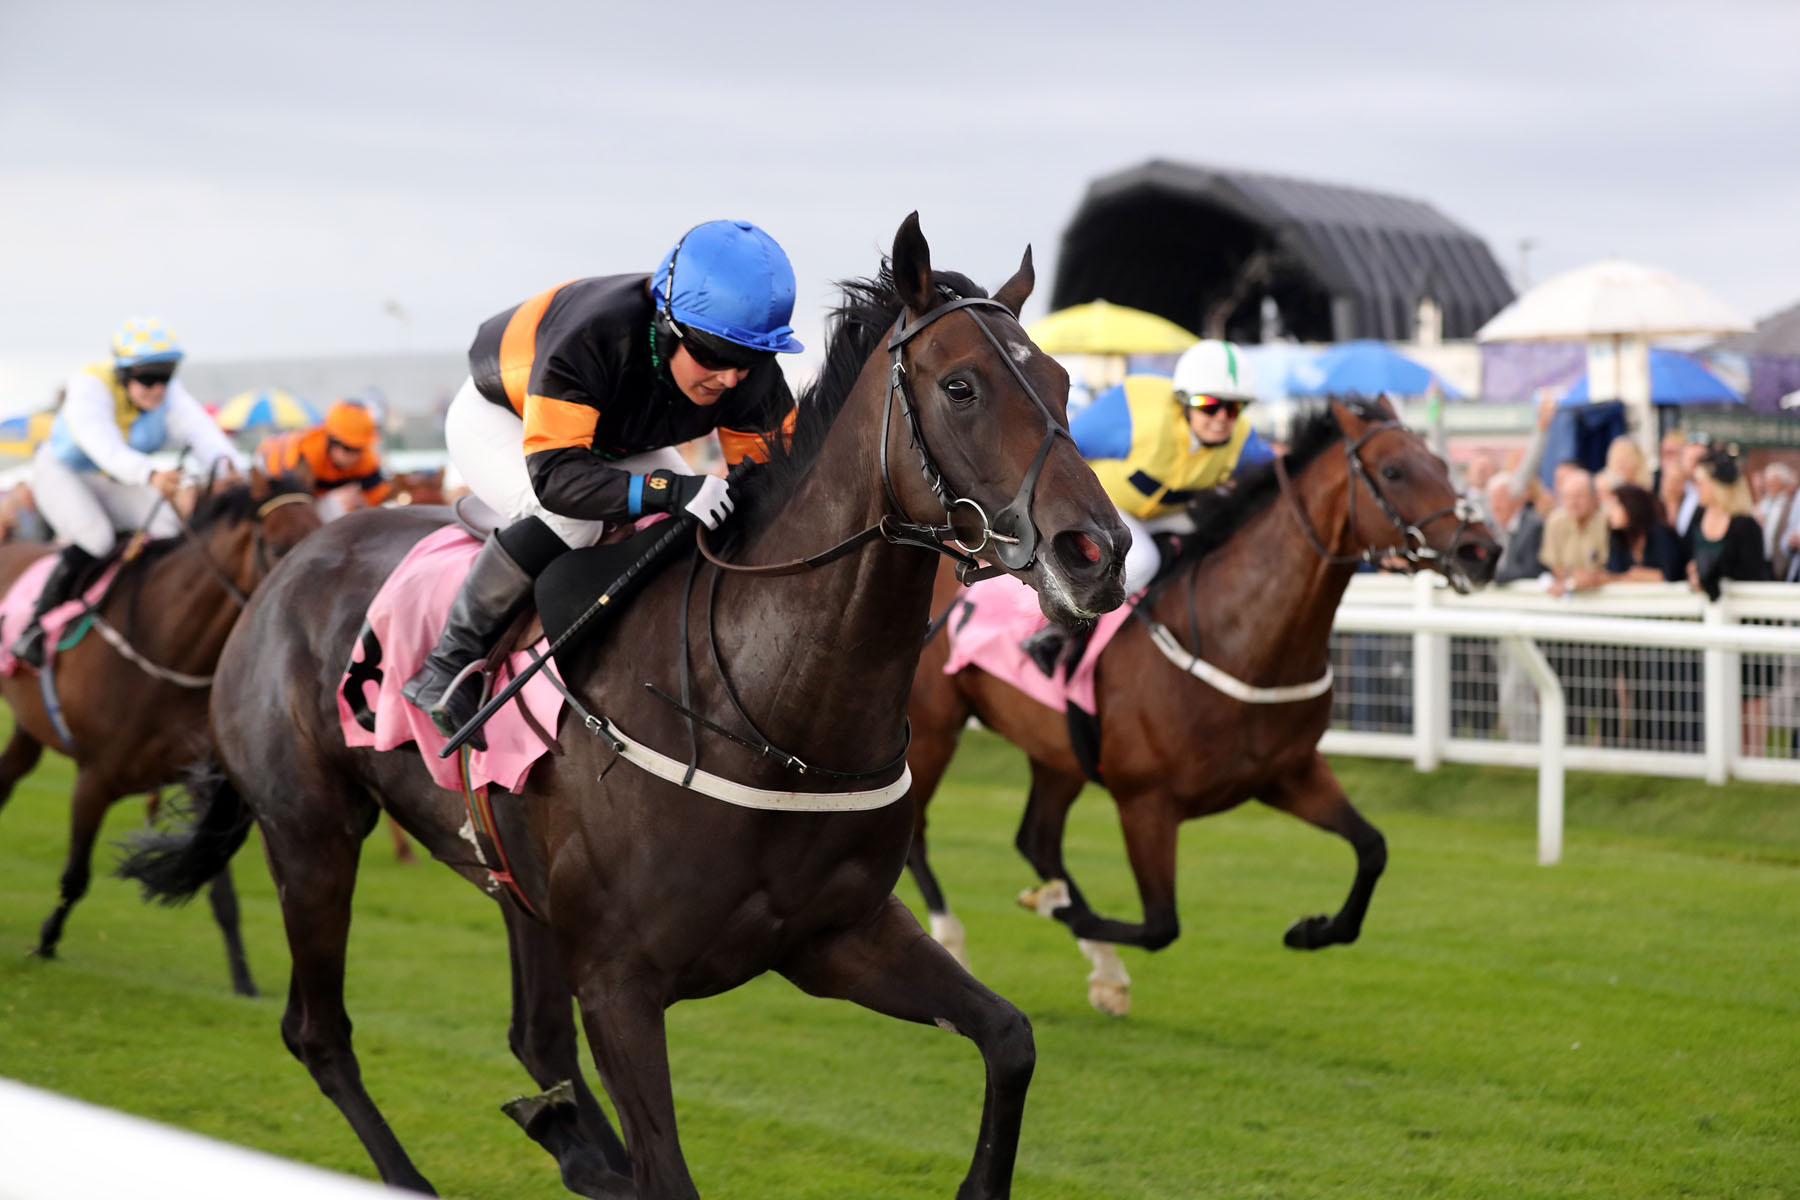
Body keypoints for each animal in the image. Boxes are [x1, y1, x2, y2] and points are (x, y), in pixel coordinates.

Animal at [0, 471, 318, 993]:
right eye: (275, 546)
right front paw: (46, 942)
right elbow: (76, 875)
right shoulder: (93, 779)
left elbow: (221, 895)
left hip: (28, 726)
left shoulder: (199, 781)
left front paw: (243, 979)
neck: (167, 653)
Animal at [119, 218, 1123, 1200]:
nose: (1098, 553)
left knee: (534, 1040)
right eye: (961, 387)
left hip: (510, 878)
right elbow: (666, 1171)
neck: (772, 715)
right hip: (312, 836)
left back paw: (573, 1142)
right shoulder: (619, 984)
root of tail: (286, 565)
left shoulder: (841, 937)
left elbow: (1009, 1039)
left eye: (1064, 381)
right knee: (319, 1032)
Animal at [907, 401, 1497, 1014]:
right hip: (931, 726)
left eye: (1441, 463)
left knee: (1037, 839)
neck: (1232, 637)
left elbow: (1373, 848)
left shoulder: (1289, 773)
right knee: (918, 831)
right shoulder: (1145, 803)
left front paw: (1312, 929)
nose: (1482, 551)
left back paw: (1101, 963)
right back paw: (953, 939)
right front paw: (1056, 907)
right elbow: (1160, 925)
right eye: (1394, 472)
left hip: (1058, 753)